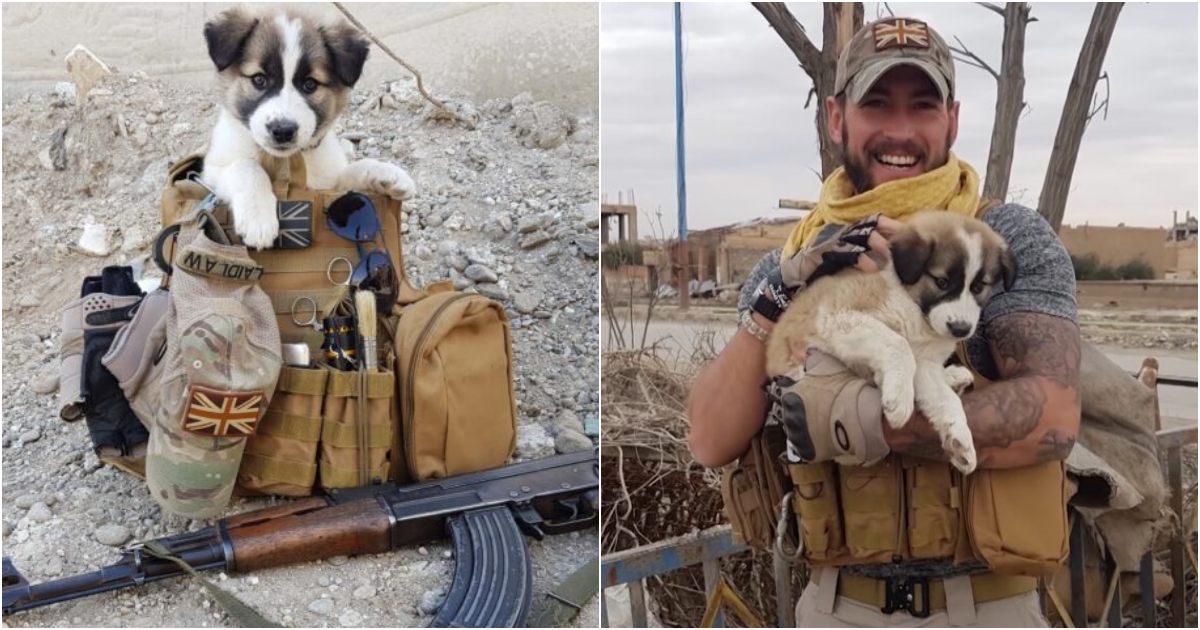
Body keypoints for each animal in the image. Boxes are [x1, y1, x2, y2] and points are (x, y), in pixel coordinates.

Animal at [199, 9, 415, 248]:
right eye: (259, 79)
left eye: (310, 84)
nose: (282, 130)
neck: (284, 161)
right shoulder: (210, 173)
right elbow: (245, 166)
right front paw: (258, 217)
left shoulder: (326, 183)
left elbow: (355, 169)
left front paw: (387, 174)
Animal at [768, 212, 1012, 470]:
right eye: (942, 282)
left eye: (978, 287)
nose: (960, 329)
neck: (915, 308)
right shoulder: (837, 316)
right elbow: (899, 345)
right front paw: (899, 399)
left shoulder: (925, 363)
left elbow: (945, 399)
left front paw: (960, 439)